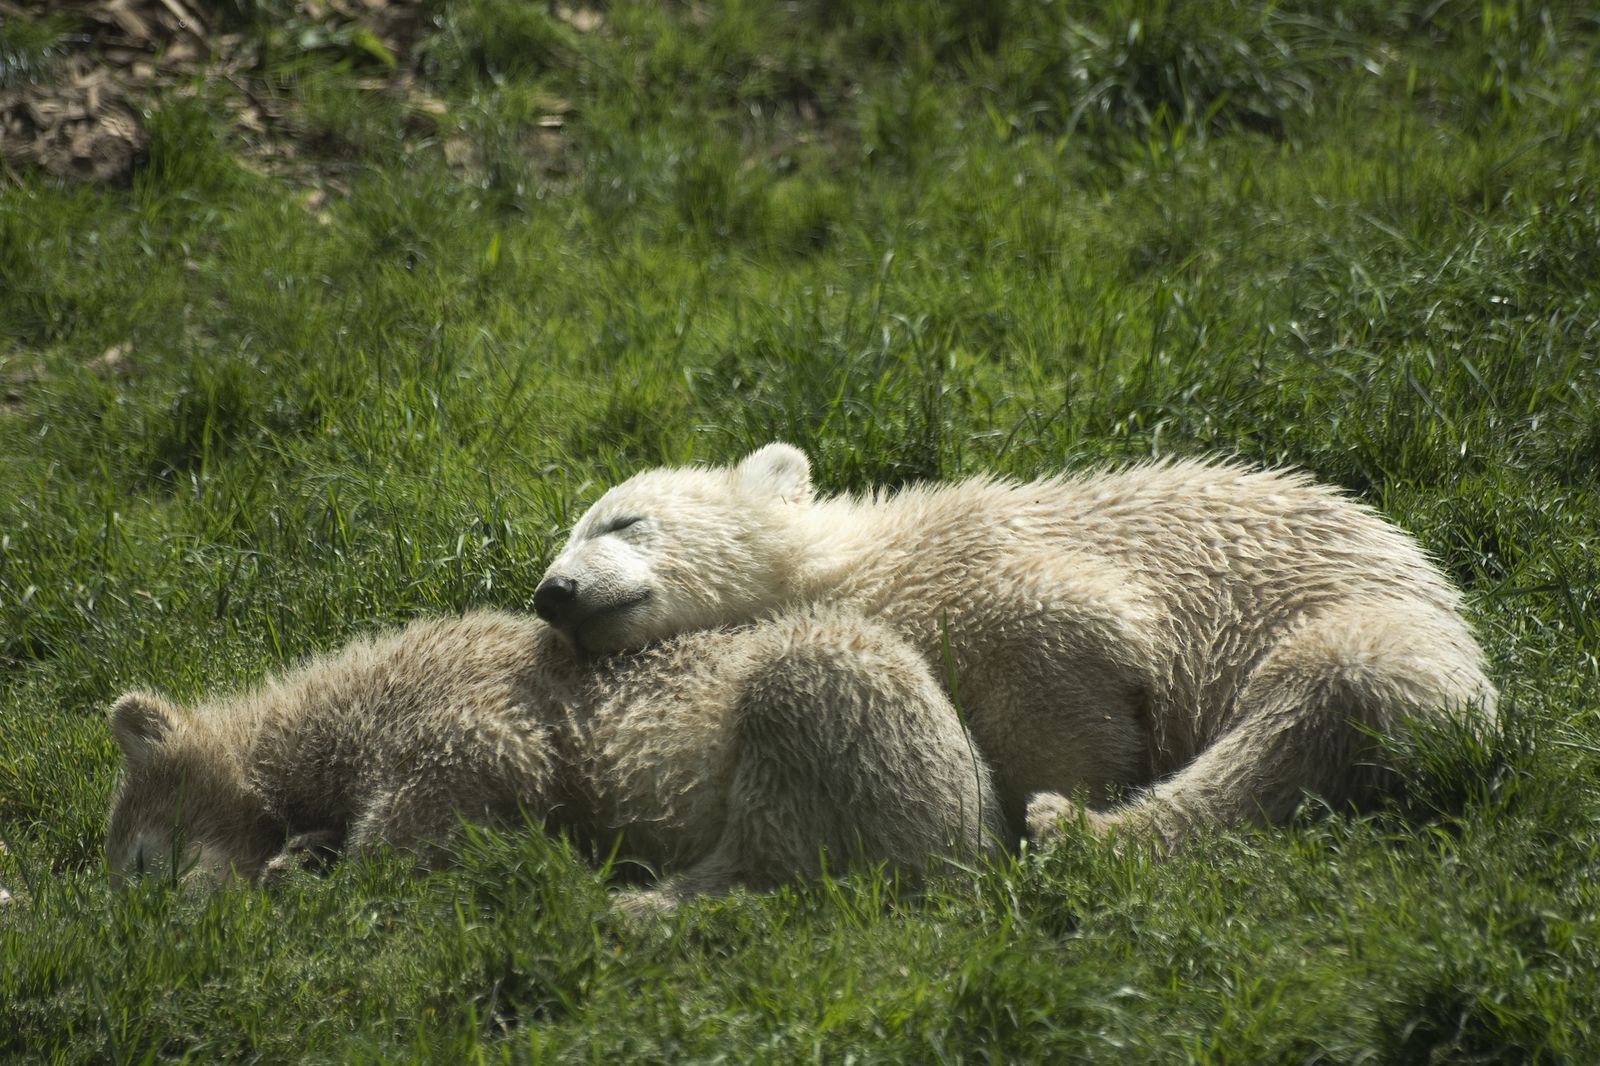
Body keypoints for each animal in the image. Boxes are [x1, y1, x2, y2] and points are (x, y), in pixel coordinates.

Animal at [537, 444, 1497, 845]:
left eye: (621, 520)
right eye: (562, 539)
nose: (554, 593)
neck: (866, 565)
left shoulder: (1010, 583)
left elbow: (1072, 660)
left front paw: (1060, 796)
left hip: (1362, 620)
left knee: (1304, 713)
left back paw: (1078, 831)